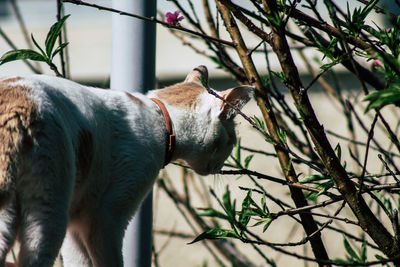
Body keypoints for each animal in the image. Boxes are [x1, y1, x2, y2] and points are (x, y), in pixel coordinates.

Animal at [0, 65, 253, 267]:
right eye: (233, 140)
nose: (221, 166)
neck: (161, 117)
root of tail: (17, 102)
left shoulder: (78, 223)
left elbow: (79, 261)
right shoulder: (106, 218)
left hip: (11, 215)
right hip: (49, 210)